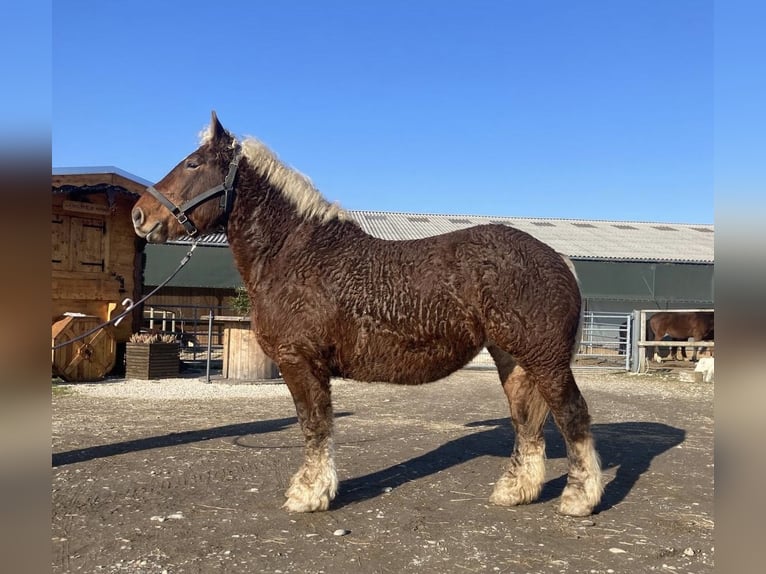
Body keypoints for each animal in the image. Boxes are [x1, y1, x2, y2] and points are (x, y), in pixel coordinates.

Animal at [129, 111, 604, 516]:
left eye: (193, 164)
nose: (139, 215)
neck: (297, 255)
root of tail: (558, 259)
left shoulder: (300, 361)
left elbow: (314, 425)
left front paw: (310, 494)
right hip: (515, 360)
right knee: (527, 422)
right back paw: (515, 491)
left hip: (545, 360)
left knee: (573, 415)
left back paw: (579, 499)